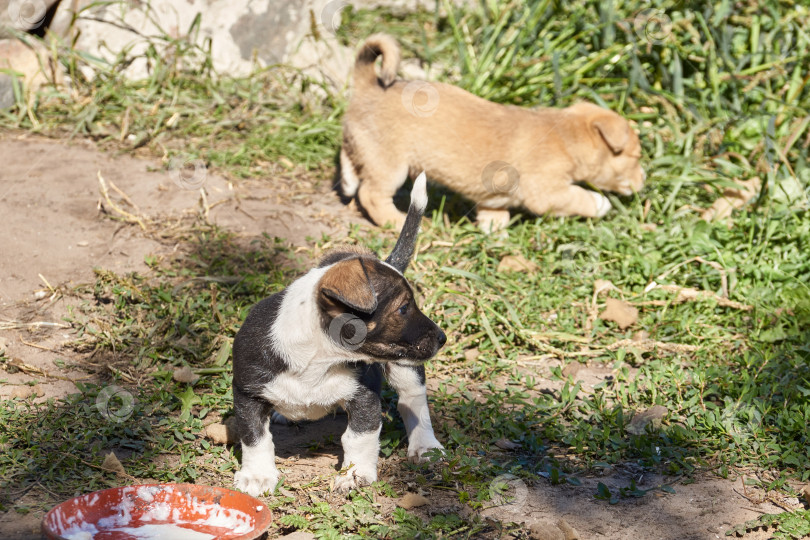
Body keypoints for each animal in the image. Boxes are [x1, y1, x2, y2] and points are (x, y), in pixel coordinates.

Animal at [230, 174, 446, 498]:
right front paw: (257, 476)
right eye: (404, 307)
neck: (318, 359)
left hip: (405, 368)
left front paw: (355, 475)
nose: (443, 337)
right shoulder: (247, 393)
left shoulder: (365, 396)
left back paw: (425, 446)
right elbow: (255, 438)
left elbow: (358, 437)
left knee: (413, 400)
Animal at [340, 33, 644, 232]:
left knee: (350, 159)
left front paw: (492, 226)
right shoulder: (547, 191)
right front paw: (600, 202)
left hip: (364, 144)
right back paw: (396, 220)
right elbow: (578, 197)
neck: (567, 136)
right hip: (390, 165)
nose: (644, 180)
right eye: (636, 157)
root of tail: (370, 83)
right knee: (371, 194)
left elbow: (494, 210)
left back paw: (346, 181)